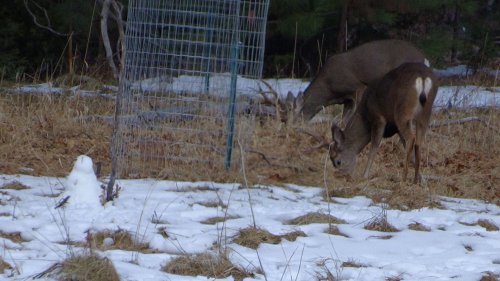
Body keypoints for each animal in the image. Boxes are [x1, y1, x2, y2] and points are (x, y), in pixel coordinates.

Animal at [296, 38, 430, 123]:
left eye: (293, 113)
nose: (293, 126)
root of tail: (424, 58)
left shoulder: (357, 86)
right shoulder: (347, 100)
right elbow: (344, 119)